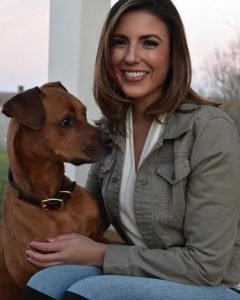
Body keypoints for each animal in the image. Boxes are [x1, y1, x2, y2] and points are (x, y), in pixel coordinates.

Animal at [0, 82, 111, 300]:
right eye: (66, 122)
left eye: (85, 114)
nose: (111, 139)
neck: (54, 200)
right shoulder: (32, 272)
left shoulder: (95, 235)